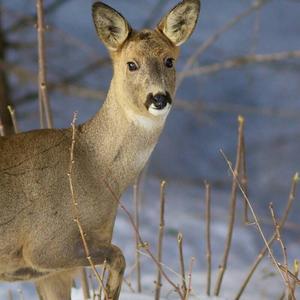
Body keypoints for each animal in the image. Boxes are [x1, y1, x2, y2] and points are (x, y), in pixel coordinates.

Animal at [0, 1, 202, 298]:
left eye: (169, 60)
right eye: (131, 64)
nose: (158, 98)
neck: (91, 166)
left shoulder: (53, 274)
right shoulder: (44, 246)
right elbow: (119, 255)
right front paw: (109, 290)